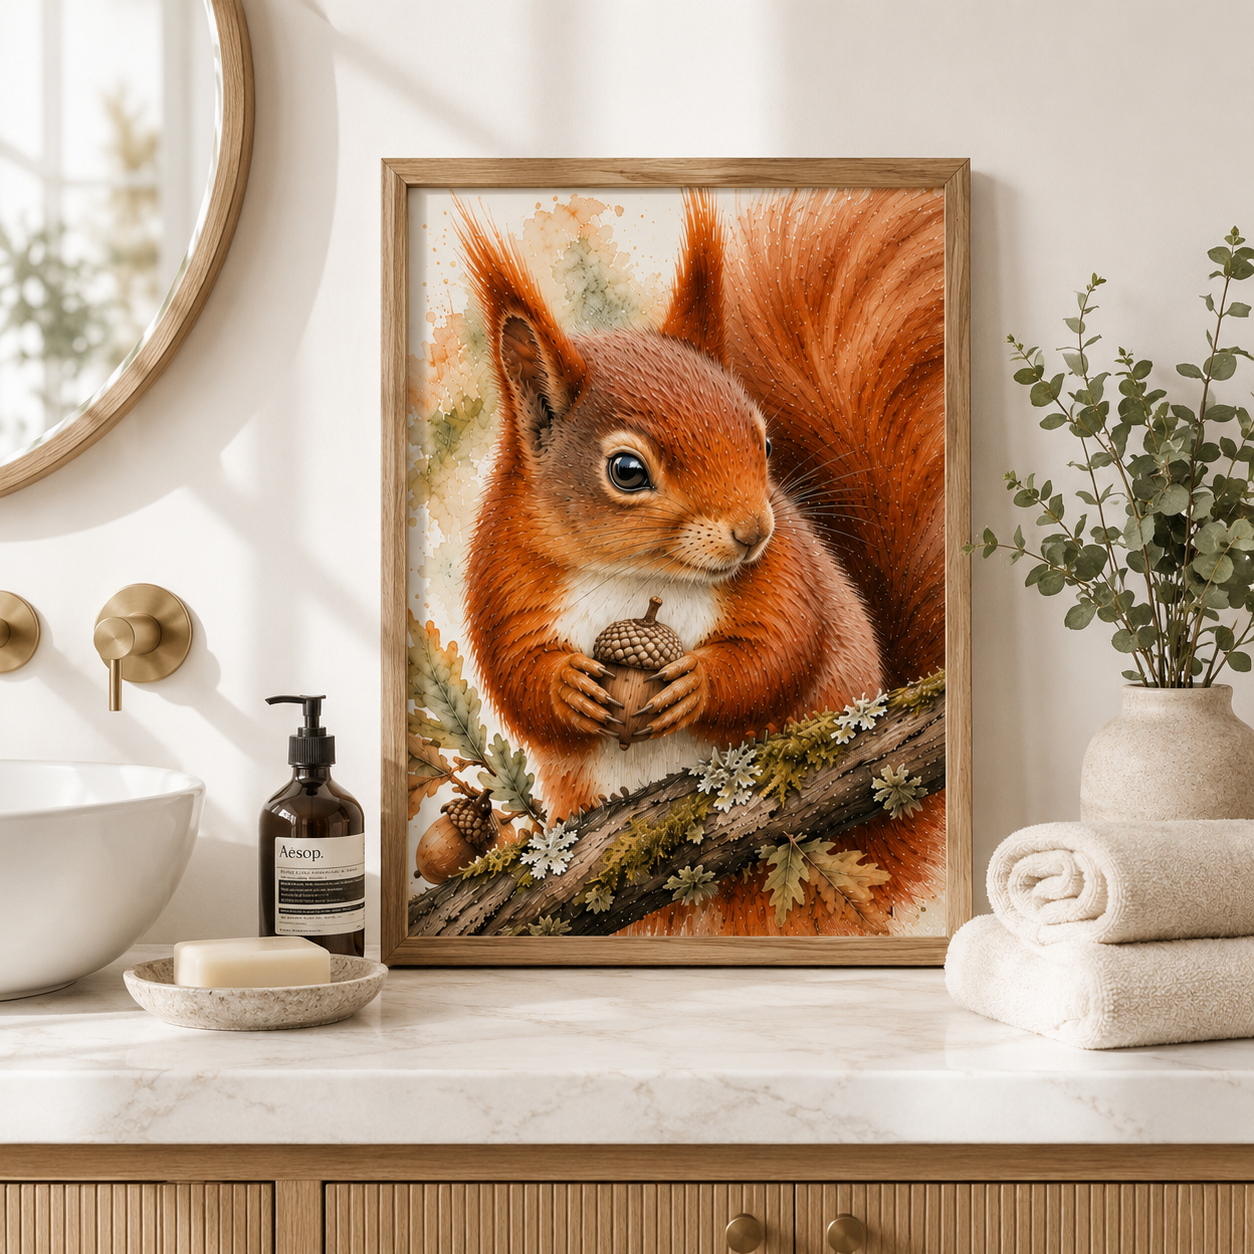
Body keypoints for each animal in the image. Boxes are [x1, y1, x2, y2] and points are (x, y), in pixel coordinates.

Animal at [458, 189, 946, 934]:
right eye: (627, 471)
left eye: (765, 443)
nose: (753, 532)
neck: (640, 577)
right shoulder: (504, 572)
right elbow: (511, 670)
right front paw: (566, 686)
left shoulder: (785, 573)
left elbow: (782, 647)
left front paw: (700, 683)